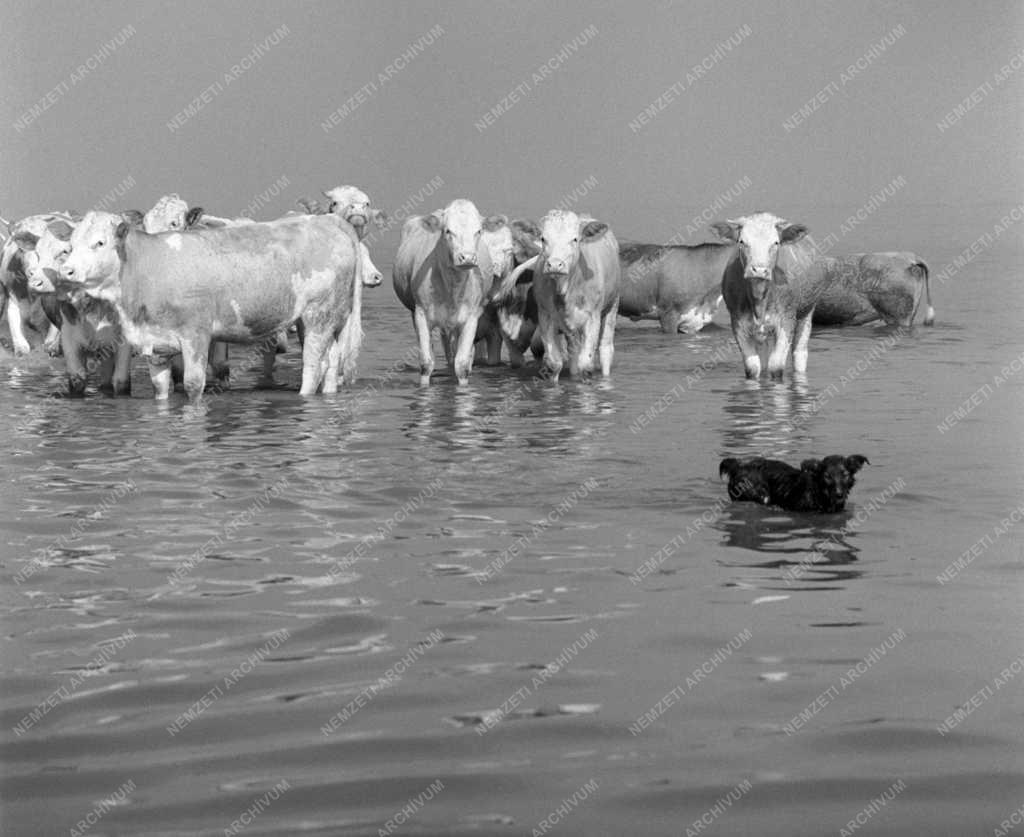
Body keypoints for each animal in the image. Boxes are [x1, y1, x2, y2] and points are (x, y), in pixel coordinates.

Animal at [60, 212, 364, 401]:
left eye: (100, 243)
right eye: (70, 245)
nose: (66, 270)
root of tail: (328, 220)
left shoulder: (196, 335)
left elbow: (194, 384)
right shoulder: (155, 343)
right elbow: (160, 386)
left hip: (318, 317)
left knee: (313, 365)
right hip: (324, 319)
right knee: (331, 361)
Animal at [391, 198, 499, 385]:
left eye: (478, 231)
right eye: (448, 231)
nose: (467, 258)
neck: (452, 286)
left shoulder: (471, 318)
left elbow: (462, 365)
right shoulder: (421, 314)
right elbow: (426, 363)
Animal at [493, 211, 614, 381]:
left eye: (575, 239)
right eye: (543, 238)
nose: (555, 264)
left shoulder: (592, 317)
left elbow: (586, 365)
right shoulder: (545, 316)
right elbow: (554, 364)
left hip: (611, 308)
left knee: (605, 350)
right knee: (572, 352)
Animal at [712, 212, 823, 379]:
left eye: (776, 242)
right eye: (742, 241)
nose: (759, 270)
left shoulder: (786, 319)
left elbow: (776, 367)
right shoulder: (738, 322)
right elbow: (752, 368)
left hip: (807, 311)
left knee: (800, 352)